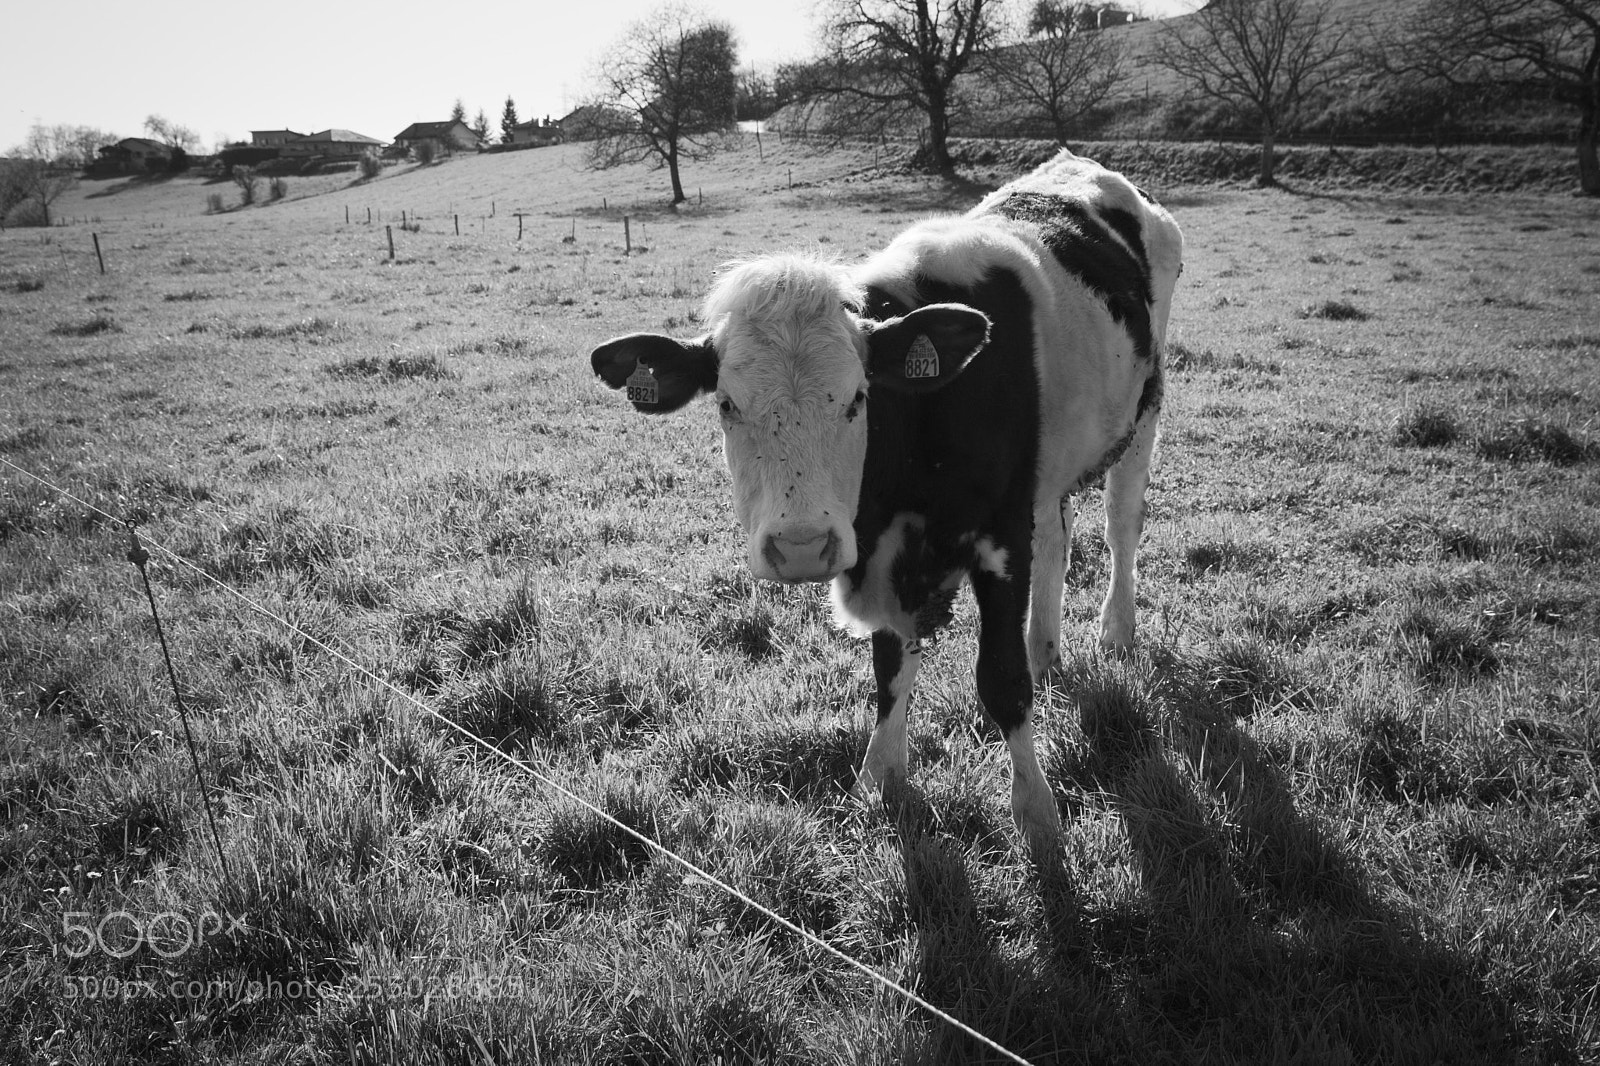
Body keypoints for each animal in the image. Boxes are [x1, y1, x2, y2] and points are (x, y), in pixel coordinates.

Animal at [590, 150, 1183, 849]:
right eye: (728, 405)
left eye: (858, 397)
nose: (800, 548)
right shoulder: (890, 551)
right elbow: (890, 665)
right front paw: (881, 775)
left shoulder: (1000, 534)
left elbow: (1001, 680)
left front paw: (1036, 811)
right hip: (1054, 467)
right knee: (1060, 534)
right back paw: (1045, 648)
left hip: (1145, 407)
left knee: (1121, 524)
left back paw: (1116, 631)